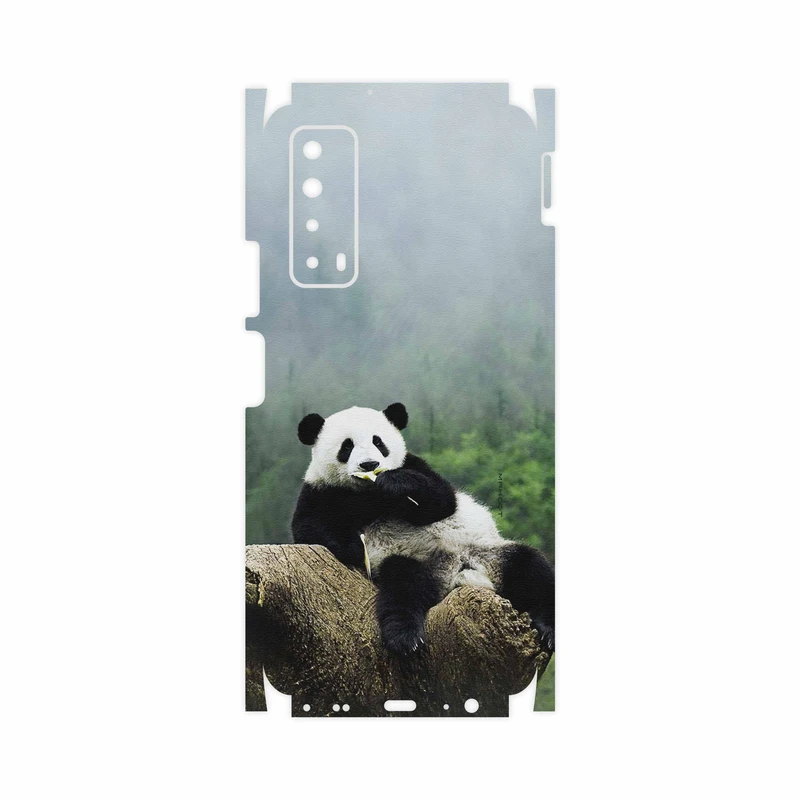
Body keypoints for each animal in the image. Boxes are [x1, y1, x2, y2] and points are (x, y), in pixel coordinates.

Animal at [292, 403, 555, 655]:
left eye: (378, 442)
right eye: (347, 446)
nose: (370, 464)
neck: (368, 492)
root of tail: (456, 574)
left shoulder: (415, 465)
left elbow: (442, 500)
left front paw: (395, 483)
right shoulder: (321, 491)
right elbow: (309, 527)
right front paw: (355, 547)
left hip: (489, 553)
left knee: (531, 569)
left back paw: (548, 629)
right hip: (411, 561)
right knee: (404, 588)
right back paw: (405, 637)